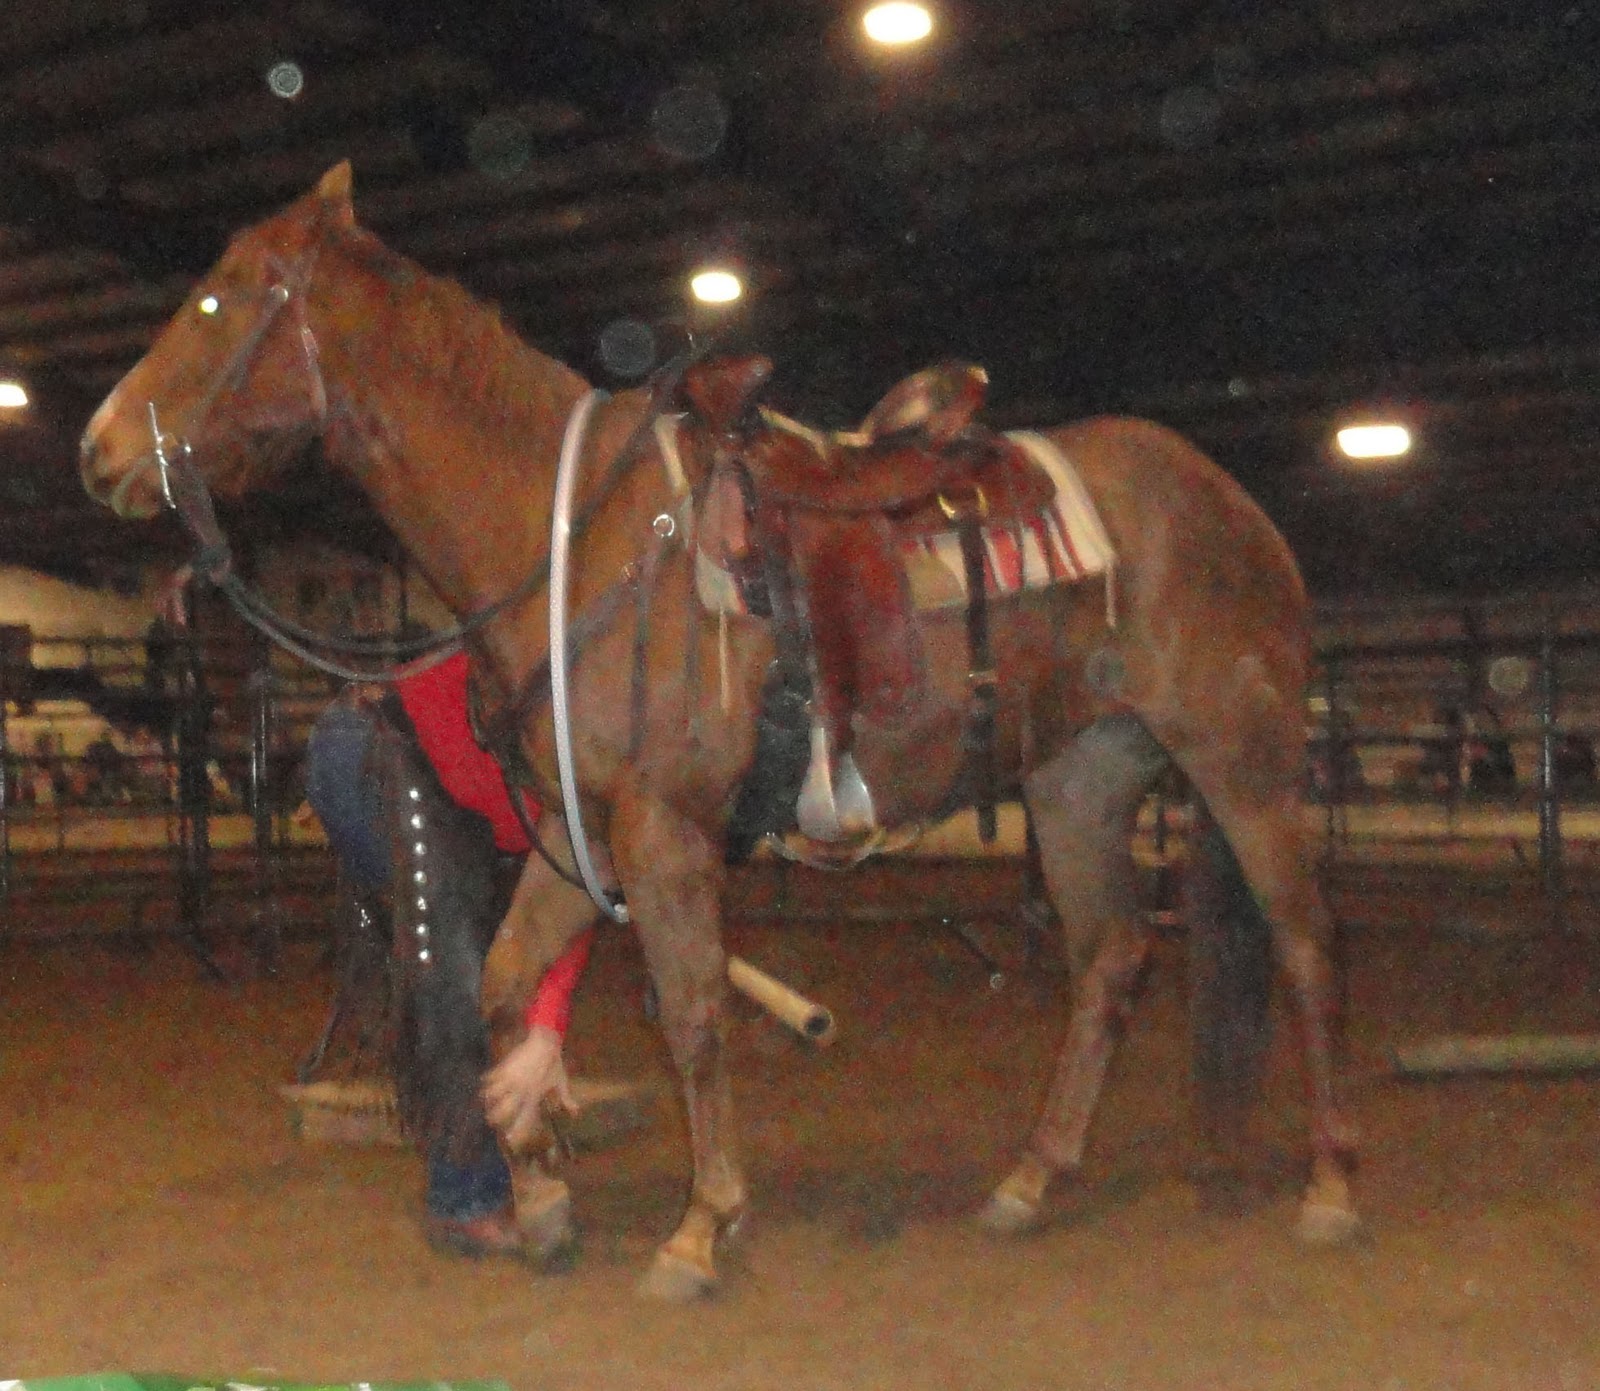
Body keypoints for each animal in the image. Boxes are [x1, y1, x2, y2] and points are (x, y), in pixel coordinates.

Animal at [79, 162, 1359, 1300]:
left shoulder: (665, 828)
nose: (98, 447)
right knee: (1108, 961)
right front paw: (538, 1190)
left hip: (1240, 760)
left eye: (216, 299)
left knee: (1302, 942)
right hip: (1079, 778)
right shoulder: (579, 830)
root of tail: (1231, 503)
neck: (576, 541)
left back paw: (1330, 1185)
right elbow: (502, 984)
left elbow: (692, 1014)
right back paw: (1029, 1181)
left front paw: (702, 1225)